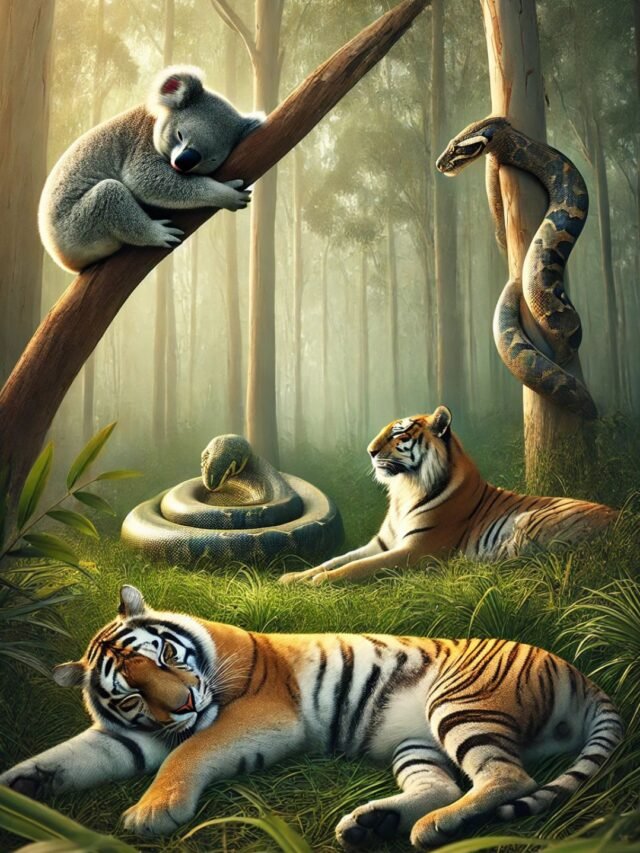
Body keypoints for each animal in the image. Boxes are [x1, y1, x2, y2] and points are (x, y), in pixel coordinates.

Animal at [0, 585, 623, 850]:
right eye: (130, 694)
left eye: (166, 657)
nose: (185, 704)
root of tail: (579, 672)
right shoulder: (128, 735)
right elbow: (69, 756)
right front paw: (19, 788)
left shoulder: (263, 712)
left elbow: (189, 752)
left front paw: (152, 813)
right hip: (417, 741)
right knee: (443, 783)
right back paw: (375, 825)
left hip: (459, 702)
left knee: (508, 775)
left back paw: (433, 828)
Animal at [279, 405, 618, 585]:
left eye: (398, 433)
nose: (370, 451)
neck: (405, 489)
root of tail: (622, 519)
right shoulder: (381, 543)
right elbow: (336, 558)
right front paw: (293, 577)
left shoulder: (416, 550)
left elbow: (356, 567)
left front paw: (320, 582)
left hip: (529, 522)